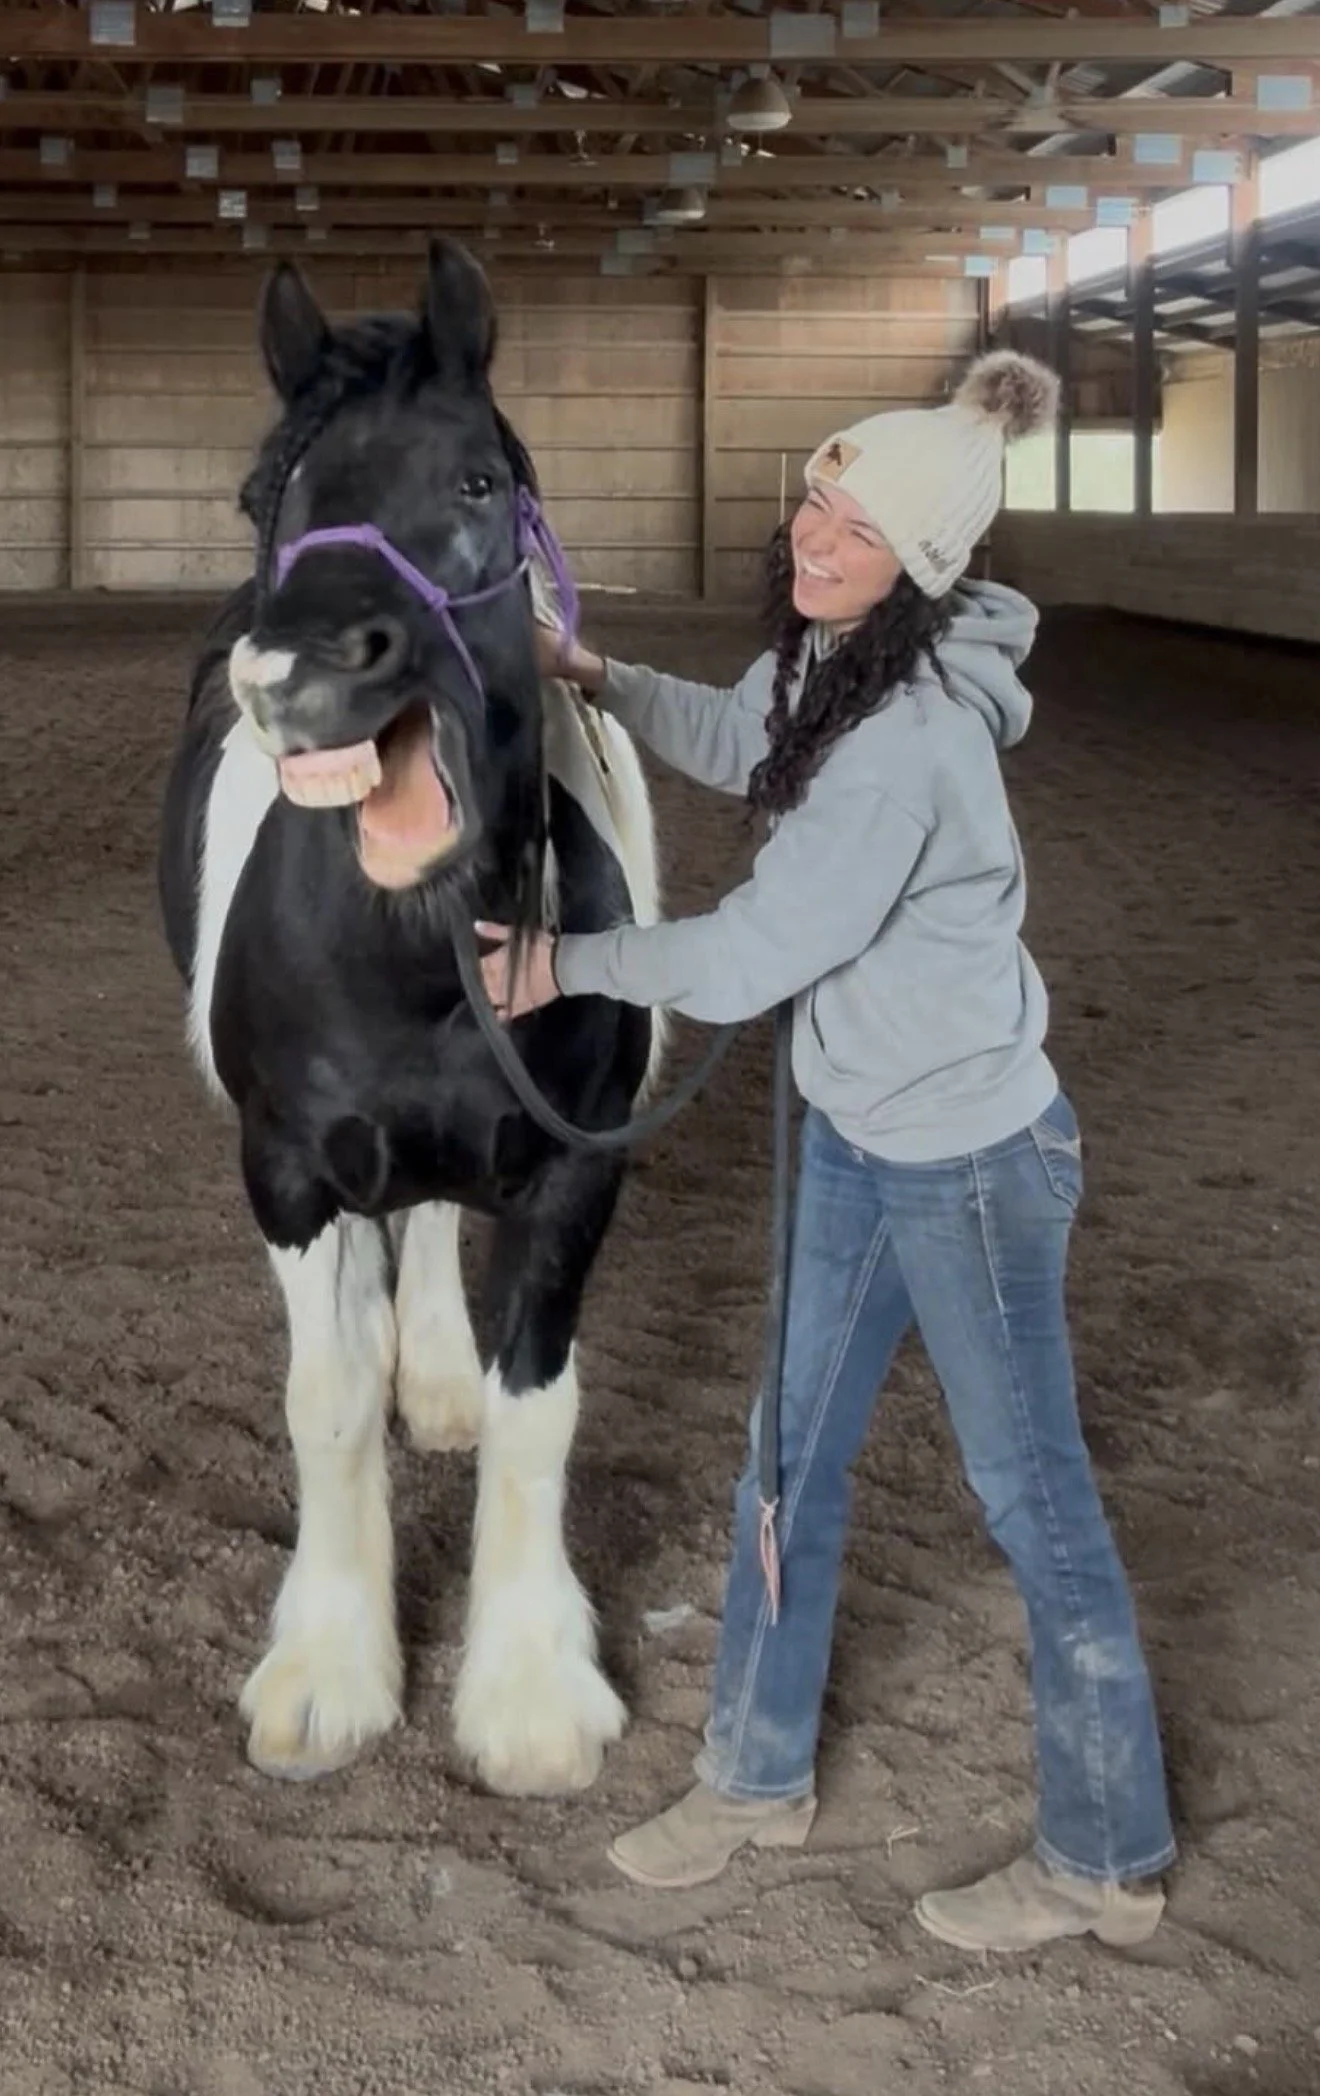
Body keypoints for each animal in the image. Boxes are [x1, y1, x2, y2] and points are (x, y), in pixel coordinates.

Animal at [156, 237, 666, 1797]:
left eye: (479, 482)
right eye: (266, 496)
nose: (297, 675)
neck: (422, 964)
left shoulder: (575, 1174)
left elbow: (534, 1409)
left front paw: (529, 1690)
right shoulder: (286, 1173)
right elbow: (323, 1402)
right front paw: (330, 1672)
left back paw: (429, 1372)